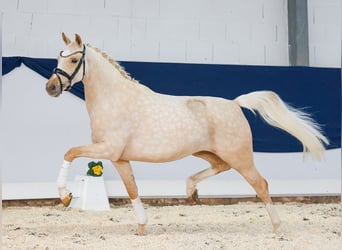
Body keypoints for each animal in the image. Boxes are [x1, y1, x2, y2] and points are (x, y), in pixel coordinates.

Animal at [46, 33, 328, 234]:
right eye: (58, 58)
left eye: (74, 60)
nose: (51, 88)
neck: (115, 99)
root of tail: (235, 103)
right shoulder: (120, 158)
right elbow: (132, 189)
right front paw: (142, 226)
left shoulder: (107, 149)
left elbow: (70, 152)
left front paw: (66, 196)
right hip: (207, 152)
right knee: (220, 167)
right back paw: (191, 191)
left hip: (241, 157)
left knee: (261, 184)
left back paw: (278, 229)